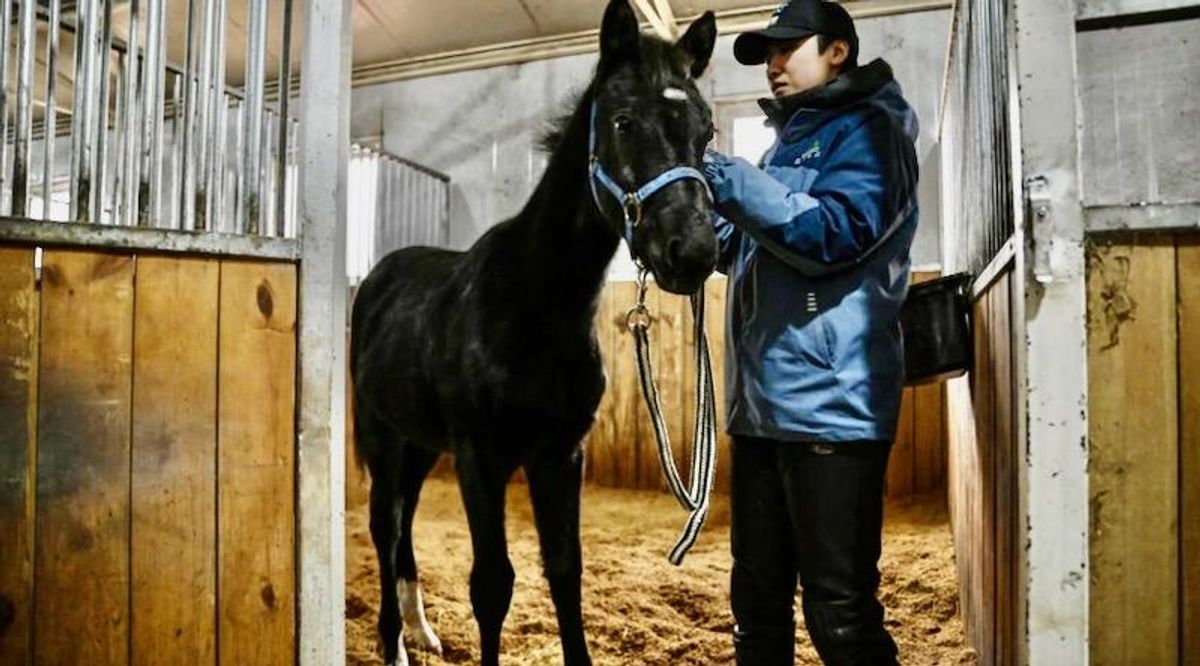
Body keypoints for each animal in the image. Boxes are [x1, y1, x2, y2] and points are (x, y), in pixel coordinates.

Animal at [349, 2, 718, 664]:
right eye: (624, 121)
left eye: (706, 132)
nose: (695, 251)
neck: (531, 304)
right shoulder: (481, 457)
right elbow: (492, 585)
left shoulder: (560, 455)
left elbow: (565, 571)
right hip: (384, 437)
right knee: (385, 525)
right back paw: (394, 643)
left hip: (420, 442)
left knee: (405, 520)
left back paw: (420, 628)